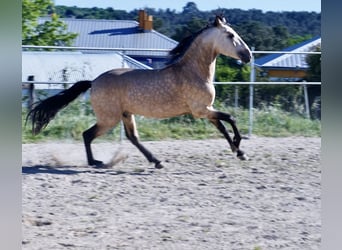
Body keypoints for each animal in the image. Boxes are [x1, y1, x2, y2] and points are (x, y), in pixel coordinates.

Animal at [26, 15, 251, 168]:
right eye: (230, 35)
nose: (248, 55)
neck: (193, 71)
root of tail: (93, 82)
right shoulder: (201, 110)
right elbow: (230, 119)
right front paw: (239, 148)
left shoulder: (207, 110)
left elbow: (223, 127)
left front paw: (238, 151)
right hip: (109, 118)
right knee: (88, 134)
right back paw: (95, 162)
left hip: (126, 114)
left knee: (132, 137)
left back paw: (156, 161)